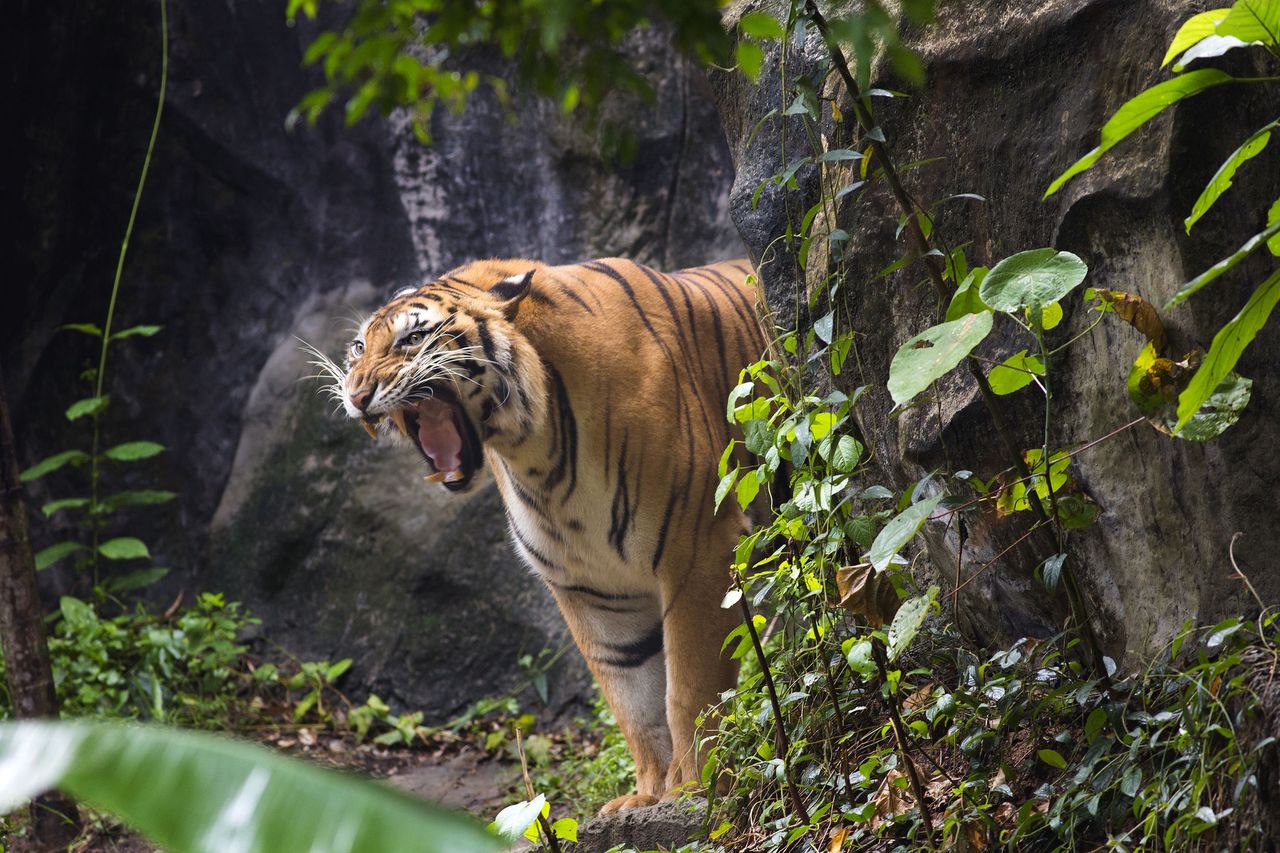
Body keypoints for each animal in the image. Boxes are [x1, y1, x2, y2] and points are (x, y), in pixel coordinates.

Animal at [317, 257, 768, 809]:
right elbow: (633, 700)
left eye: (413, 338)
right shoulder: (590, 585)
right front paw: (646, 796)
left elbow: (690, 689)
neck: (537, 451)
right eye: (359, 347)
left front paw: (695, 791)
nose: (356, 394)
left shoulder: (700, 549)